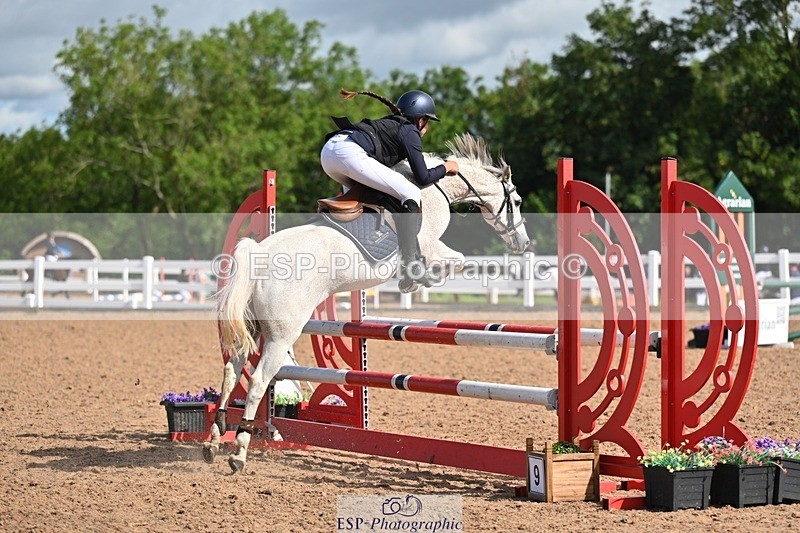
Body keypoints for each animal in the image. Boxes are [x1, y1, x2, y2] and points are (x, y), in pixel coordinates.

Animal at [207, 133, 531, 472]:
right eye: (518, 202)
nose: (524, 244)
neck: (435, 187)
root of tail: (257, 254)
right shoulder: (430, 244)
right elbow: (456, 260)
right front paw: (417, 279)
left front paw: (416, 279)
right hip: (281, 336)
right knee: (258, 381)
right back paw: (240, 449)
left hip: (253, 329)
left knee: (232, 370)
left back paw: (214, 439)